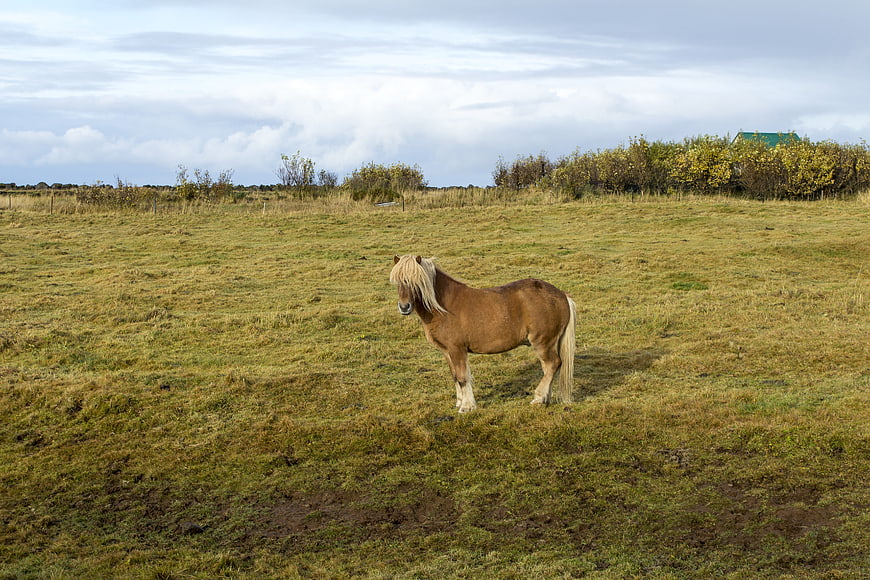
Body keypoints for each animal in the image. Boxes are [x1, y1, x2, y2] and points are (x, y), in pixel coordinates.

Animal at [390, 255, 576, 412]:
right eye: (398, 281)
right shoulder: (447, 352)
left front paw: (466, 406)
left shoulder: (457, 350)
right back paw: (545, 398)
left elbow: (463, 377)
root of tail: (561, 295)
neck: (444, 307)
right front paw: (459, 401)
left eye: (416, 281)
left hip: (542, 342)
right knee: (548, 367)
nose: (404, 307)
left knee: (552, 364)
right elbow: (455, 376)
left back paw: (538, 398)